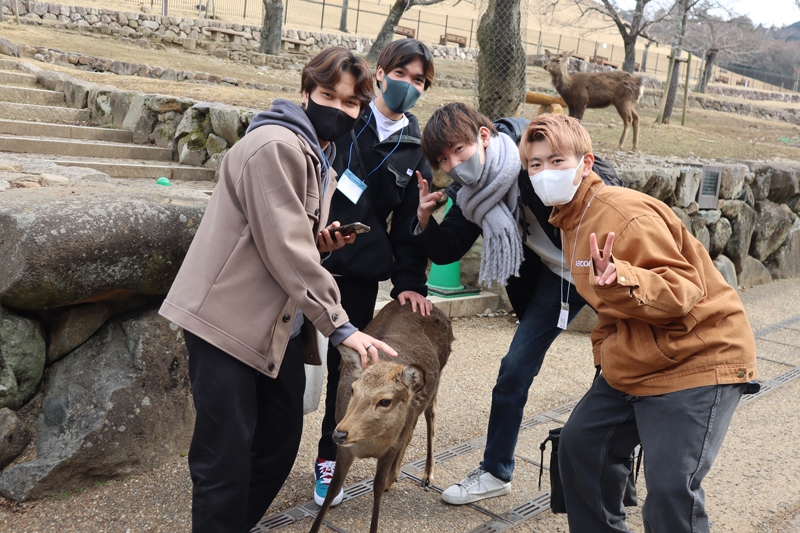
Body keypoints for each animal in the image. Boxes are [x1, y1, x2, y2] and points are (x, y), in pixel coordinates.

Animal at [308, 300, 454, 532]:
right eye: (353, 389)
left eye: (385, 401)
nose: (339, 434)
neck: (368, 444)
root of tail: (430, 303)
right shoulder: (345, 449)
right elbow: (333, 490)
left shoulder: (388, 449)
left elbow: (376, 491)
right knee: (411, 429)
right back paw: (395, 477)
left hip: (438, 377)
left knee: (430, 414)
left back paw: (427, 475)